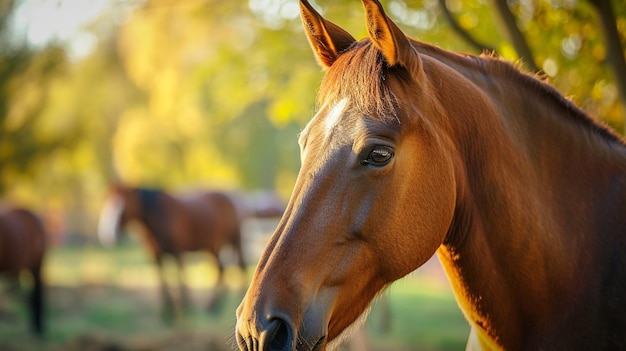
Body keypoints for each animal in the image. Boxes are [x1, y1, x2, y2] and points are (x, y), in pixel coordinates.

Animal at [97, 184, 244, 322]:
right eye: (105, 202)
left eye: (123, 206)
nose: (108, 235)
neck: (159, 217)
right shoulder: (156, 257)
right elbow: (163, 281)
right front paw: (167, 314)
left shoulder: (177, 252)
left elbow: (180, 278)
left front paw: (185, 308)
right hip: (212, 248)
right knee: (222, 269)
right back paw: (217, 306)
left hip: (223, 243)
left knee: (230, 267)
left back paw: (215, 306)